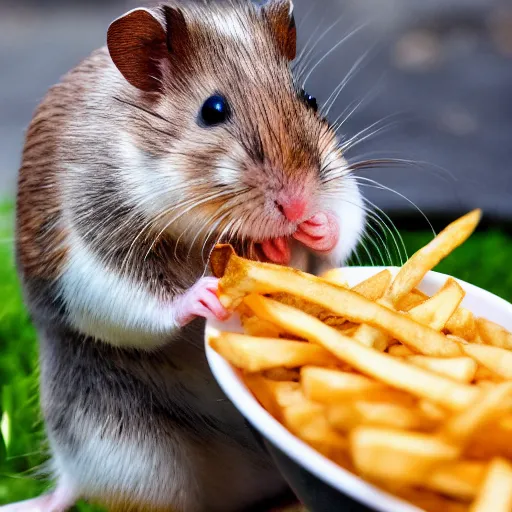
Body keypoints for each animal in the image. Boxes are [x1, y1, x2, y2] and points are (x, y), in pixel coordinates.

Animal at [5, 1, 364, 512]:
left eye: (309, 99)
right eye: (213, 110)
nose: (297, 206)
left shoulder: (339, 181)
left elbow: (342, 223)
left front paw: (316, 228)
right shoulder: (88, 246)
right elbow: (132, 297)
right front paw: (203, 294)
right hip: (131, 449)